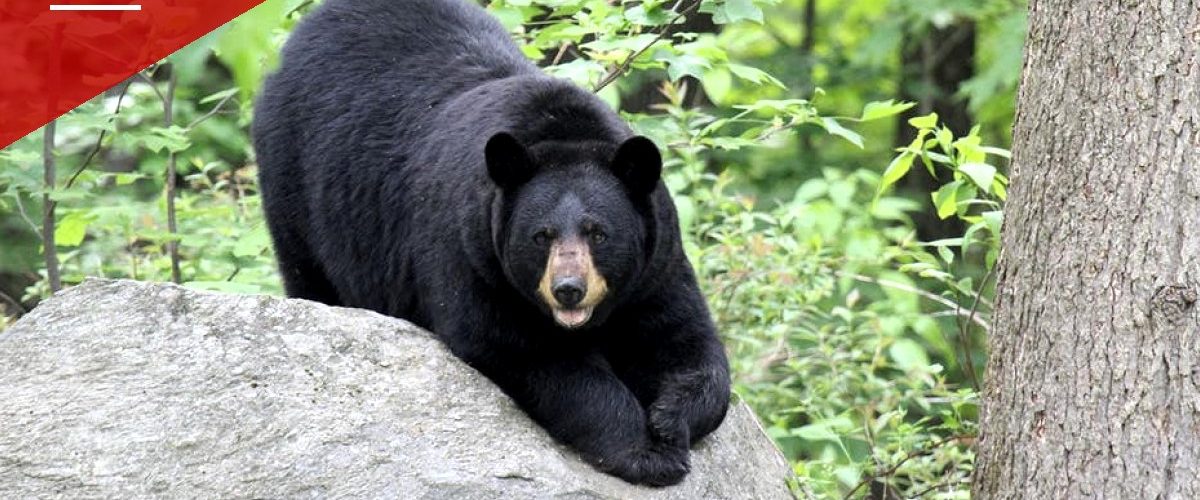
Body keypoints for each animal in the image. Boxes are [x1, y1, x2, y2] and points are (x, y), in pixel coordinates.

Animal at [252, 0, 731, 487]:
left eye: (599, 233)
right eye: (541, 236)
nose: (568, 289)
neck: (563, 131)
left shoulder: (656, 260)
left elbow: (686, 339)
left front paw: (669, 419)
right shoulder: (471, 254)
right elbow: (531, 354)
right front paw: (644, 451)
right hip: (296, 179)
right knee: (309, 270)